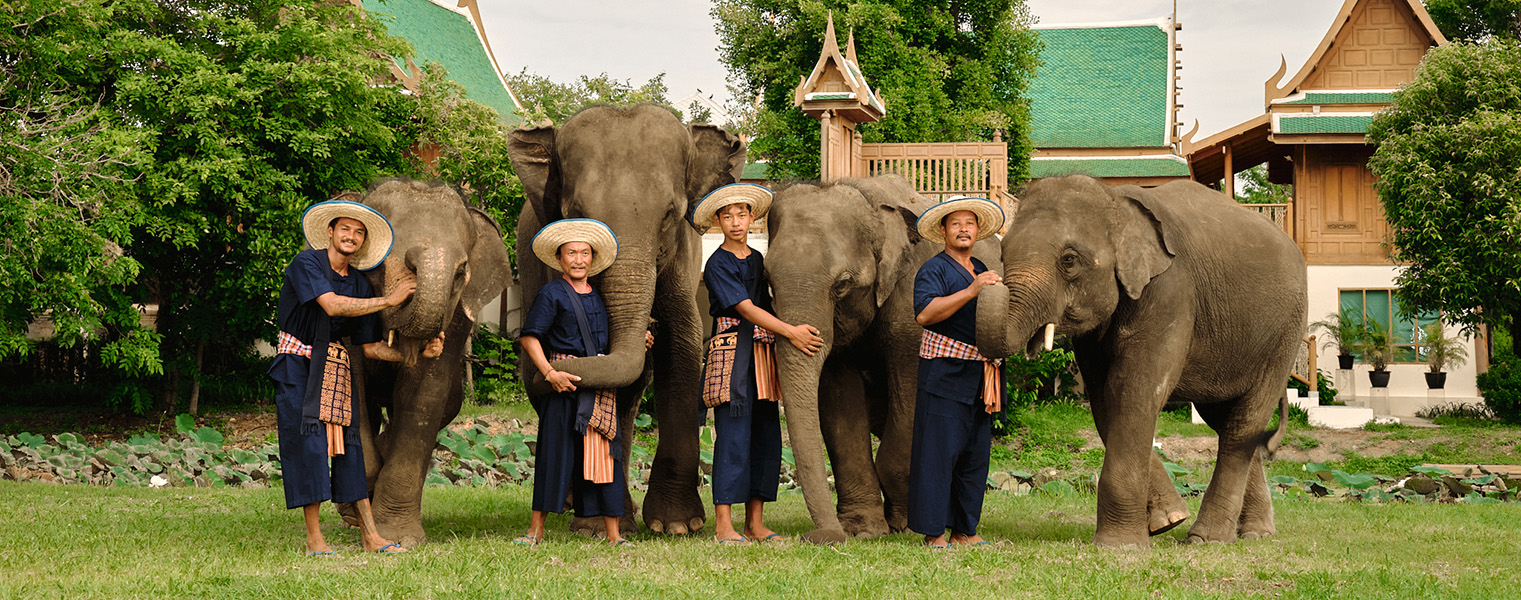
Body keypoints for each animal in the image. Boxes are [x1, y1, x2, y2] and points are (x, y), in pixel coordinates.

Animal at [346, 178, 512, 545]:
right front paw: (359, 510)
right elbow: (350, 385)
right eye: (378, 263)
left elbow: (423, 395)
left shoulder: (457, 318)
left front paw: (400, 538)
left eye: (461, 272)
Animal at [507, 104, 746, 536]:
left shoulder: (684, 257)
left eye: (670, 214)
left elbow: (682, 345)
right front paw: (598, 525)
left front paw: (677, 525)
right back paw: (578, 507)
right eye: (575, 215)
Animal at [765, 176, 1002, 544]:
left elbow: (911, 396)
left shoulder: (911, 300)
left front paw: (906, 525)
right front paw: (862, 530)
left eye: (843, 284)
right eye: (768, 282)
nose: (819, 536)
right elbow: (840, 403)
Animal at [975, 174, 1302, 547]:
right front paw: (1167, 521)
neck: (1115, 200)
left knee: (1242, 425)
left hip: (1284, 336)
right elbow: (1106, 400)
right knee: (1227, 421)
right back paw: (1254, 534)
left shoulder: (1170, 292)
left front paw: (1121, 545)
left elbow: (1135, 391)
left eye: (1069, 260)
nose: (986, 276)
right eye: (1003, 253)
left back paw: (1206, 538)